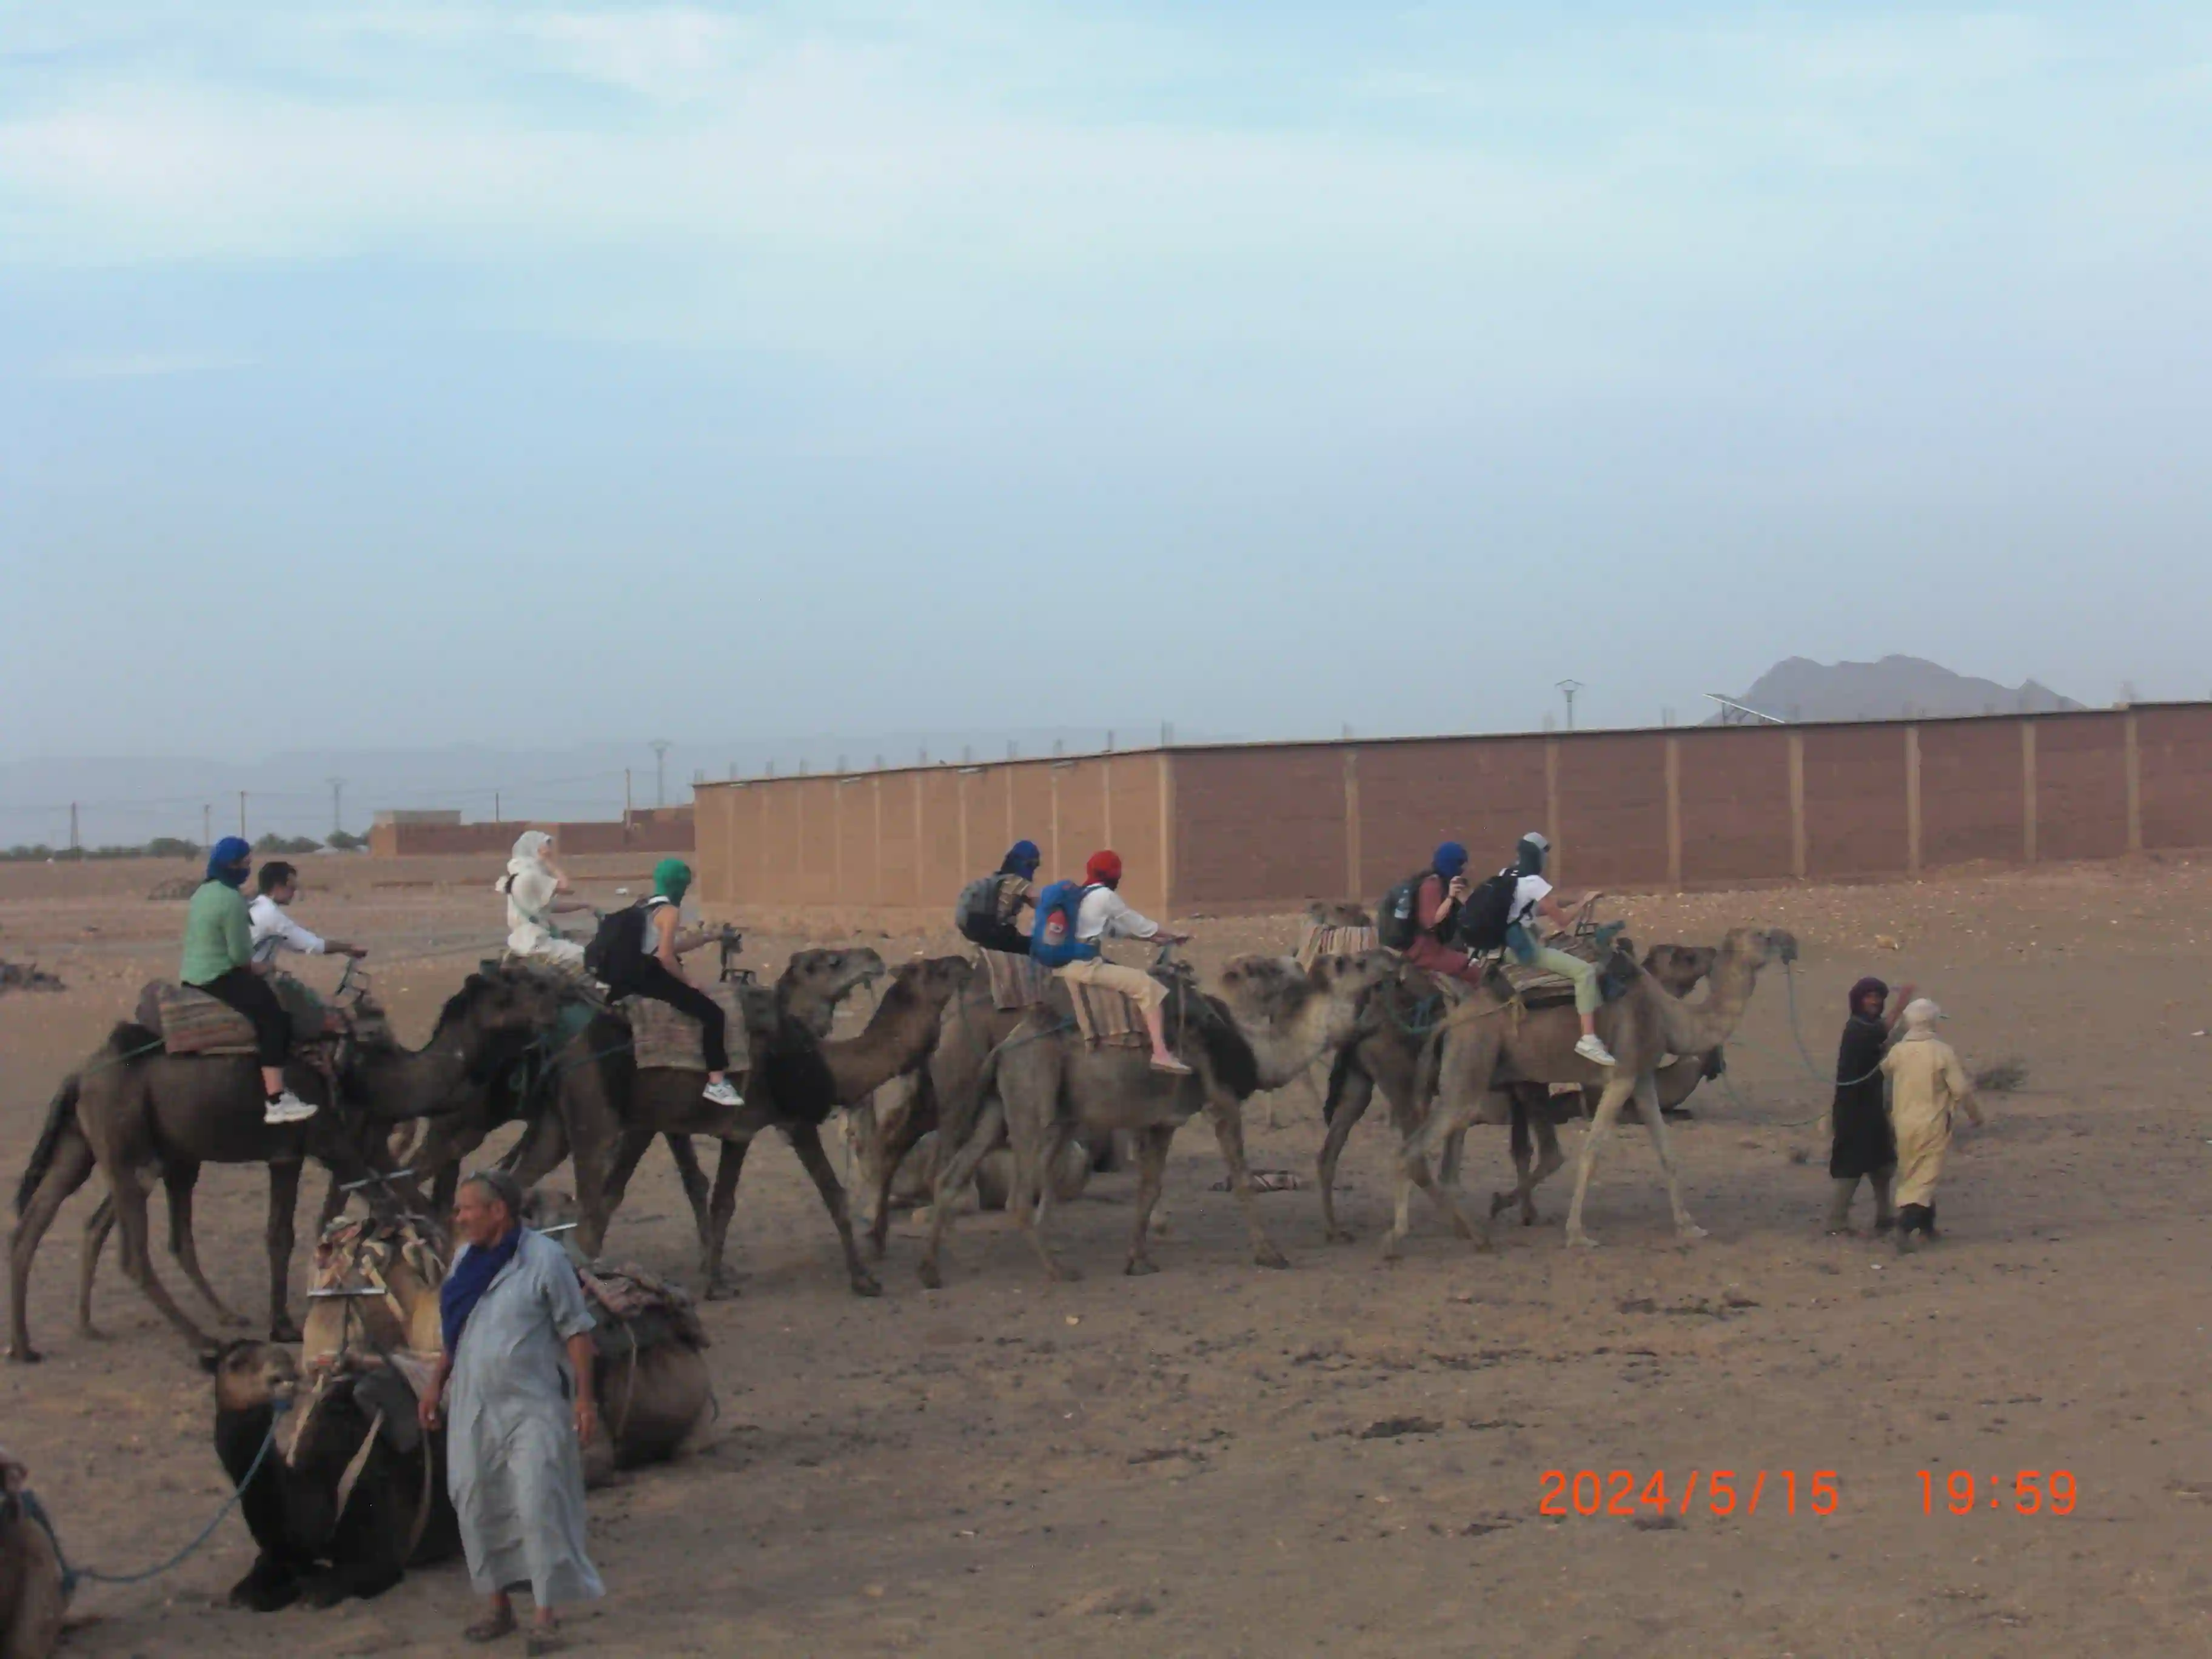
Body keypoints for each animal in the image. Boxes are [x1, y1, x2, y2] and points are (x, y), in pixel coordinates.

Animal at [9, 970, 563, 1363]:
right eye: (522, 987)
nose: (565, 993)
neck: (373, 1071)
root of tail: (81, 1073)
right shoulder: (334, 1143)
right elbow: (385, 1213)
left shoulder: (301, 1153)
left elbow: (294, 1231)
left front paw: (285, 1321)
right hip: (129, 1152)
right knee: (131, 1250)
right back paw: (202, 1340)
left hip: (93, 1146)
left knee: (42, 1218)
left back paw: (33, 1341)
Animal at [509, 956, 975, 1299]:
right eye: (937, 969)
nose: (964, 961)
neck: (825, 1062)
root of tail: (563, 1052)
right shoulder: (786, 1122)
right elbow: (826, 1195)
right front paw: (864, 1280)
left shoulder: (750, 1129)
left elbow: (731, 1203)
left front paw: (717, 1283)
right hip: (598, 1121)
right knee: (589, 1211)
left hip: (559, 1126)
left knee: (521, 1182)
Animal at [917, 950, 1394, 1288]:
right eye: (1357, 961)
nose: (1391, 958)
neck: (1254, 1048)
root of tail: (1005, 1047)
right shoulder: (1221, 1102)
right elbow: (1241, 1180)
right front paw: (1270, 1254)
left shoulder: (1163, 1121)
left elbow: (1149, 1189)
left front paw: (1139, 1260)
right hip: (1034, 1096)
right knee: (1018, 1195)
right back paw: (1058, 1270)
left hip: (1001, 1105)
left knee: (953, 1176)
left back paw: (932, 1271)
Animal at [1315, 943, 1719, 1242]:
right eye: (1685, 956)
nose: (1710, 951)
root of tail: (1368, 1012)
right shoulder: (1541, 1087)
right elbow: (1550, 1153)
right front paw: (1509, 1206)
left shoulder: (1525, 1090)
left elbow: (1525, 1151)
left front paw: (1524, 1209)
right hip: (1403, 1080)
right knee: (1411, 1151)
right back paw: (1441, 1228)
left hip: (1361, 1082)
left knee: (1331, 1152)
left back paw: (1337, 1230)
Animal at [1388, 926, 1798, 1256]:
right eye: (1761, 936)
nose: (1789, 941)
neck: (1668, 1016)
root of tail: (1452, 1017)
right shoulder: (1620, 1077)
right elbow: (1592, 1152)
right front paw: (1577, 1235)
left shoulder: (1642, 1079)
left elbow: (1666, 1152)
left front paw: (1689, 1226)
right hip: (1473, 1062)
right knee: (1412, 1149)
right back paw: (1400, 1237)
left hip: (1468, 1074)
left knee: (1445, 1164)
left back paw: (1471, 1233)